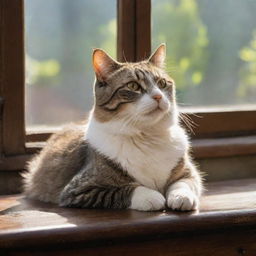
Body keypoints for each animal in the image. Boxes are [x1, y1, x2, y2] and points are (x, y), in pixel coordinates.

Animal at [22, 44, 202, 211]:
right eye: (133, 86)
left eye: (162, 83)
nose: (158, 96)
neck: (146, 136)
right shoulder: (79, 189)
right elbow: (126, 189)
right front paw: (152, 197)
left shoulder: (189, 173)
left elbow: (183, 183)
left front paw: (181, 197)